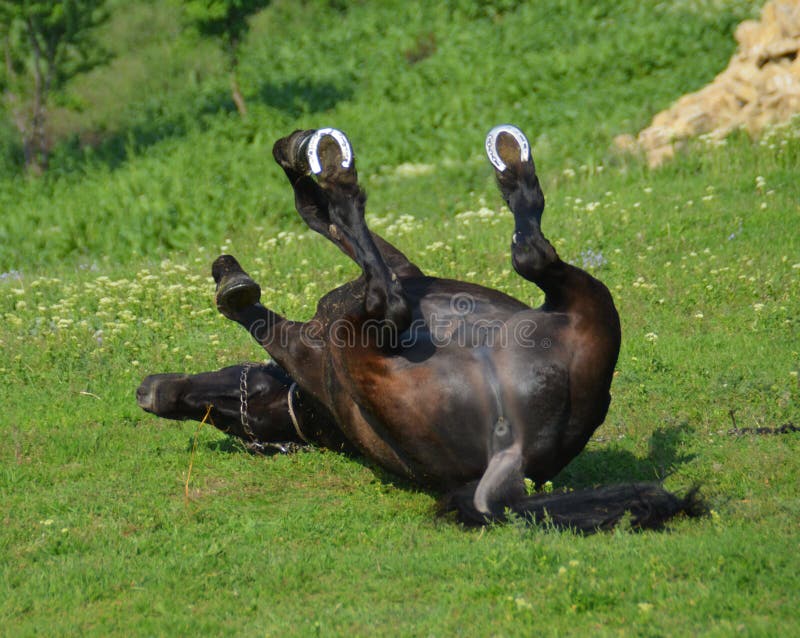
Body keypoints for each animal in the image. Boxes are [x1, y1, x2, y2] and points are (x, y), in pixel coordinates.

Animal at [137, 125, 703, 532]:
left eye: (234, 407)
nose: (150, 392)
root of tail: (510, 456)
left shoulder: (376, 280)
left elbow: (315, 218)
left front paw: (295, 157)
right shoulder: (313, 336)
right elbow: (297, 264)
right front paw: (234, 277)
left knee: (520, 259)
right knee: (516, 261)